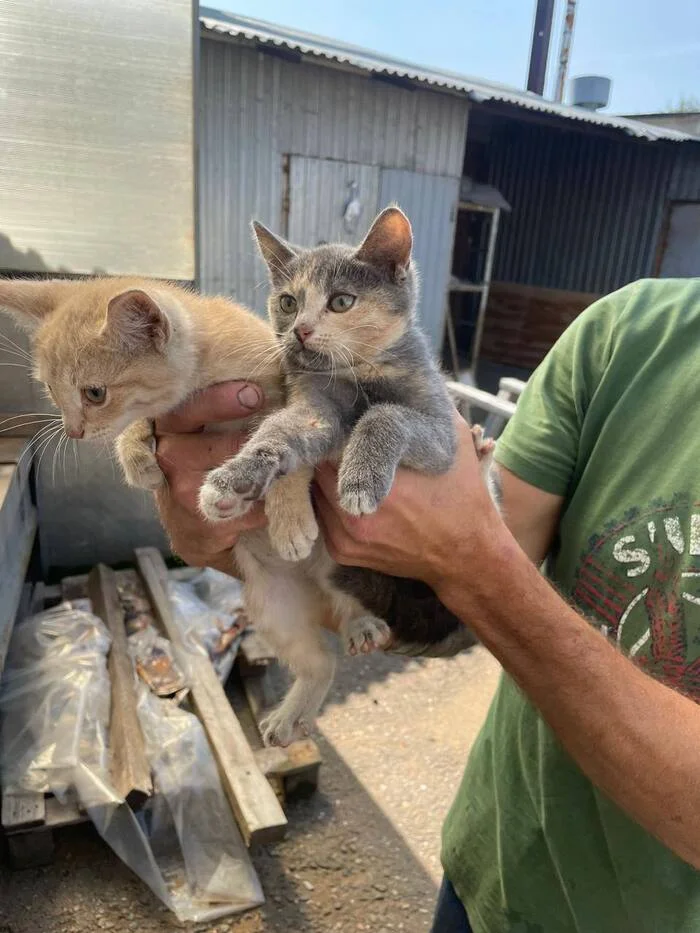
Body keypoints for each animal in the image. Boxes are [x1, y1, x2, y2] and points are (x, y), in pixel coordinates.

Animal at [200, 208, 490, 748]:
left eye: (341, 301)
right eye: (288, 301)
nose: (300, 331)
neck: (358, 375)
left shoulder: (442, 435)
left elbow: (386, 416)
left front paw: (358, 482)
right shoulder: (313, 404)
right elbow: (280, 433)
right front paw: (237, 480)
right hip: (277, 600)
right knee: (322, 658)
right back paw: (289, 712)